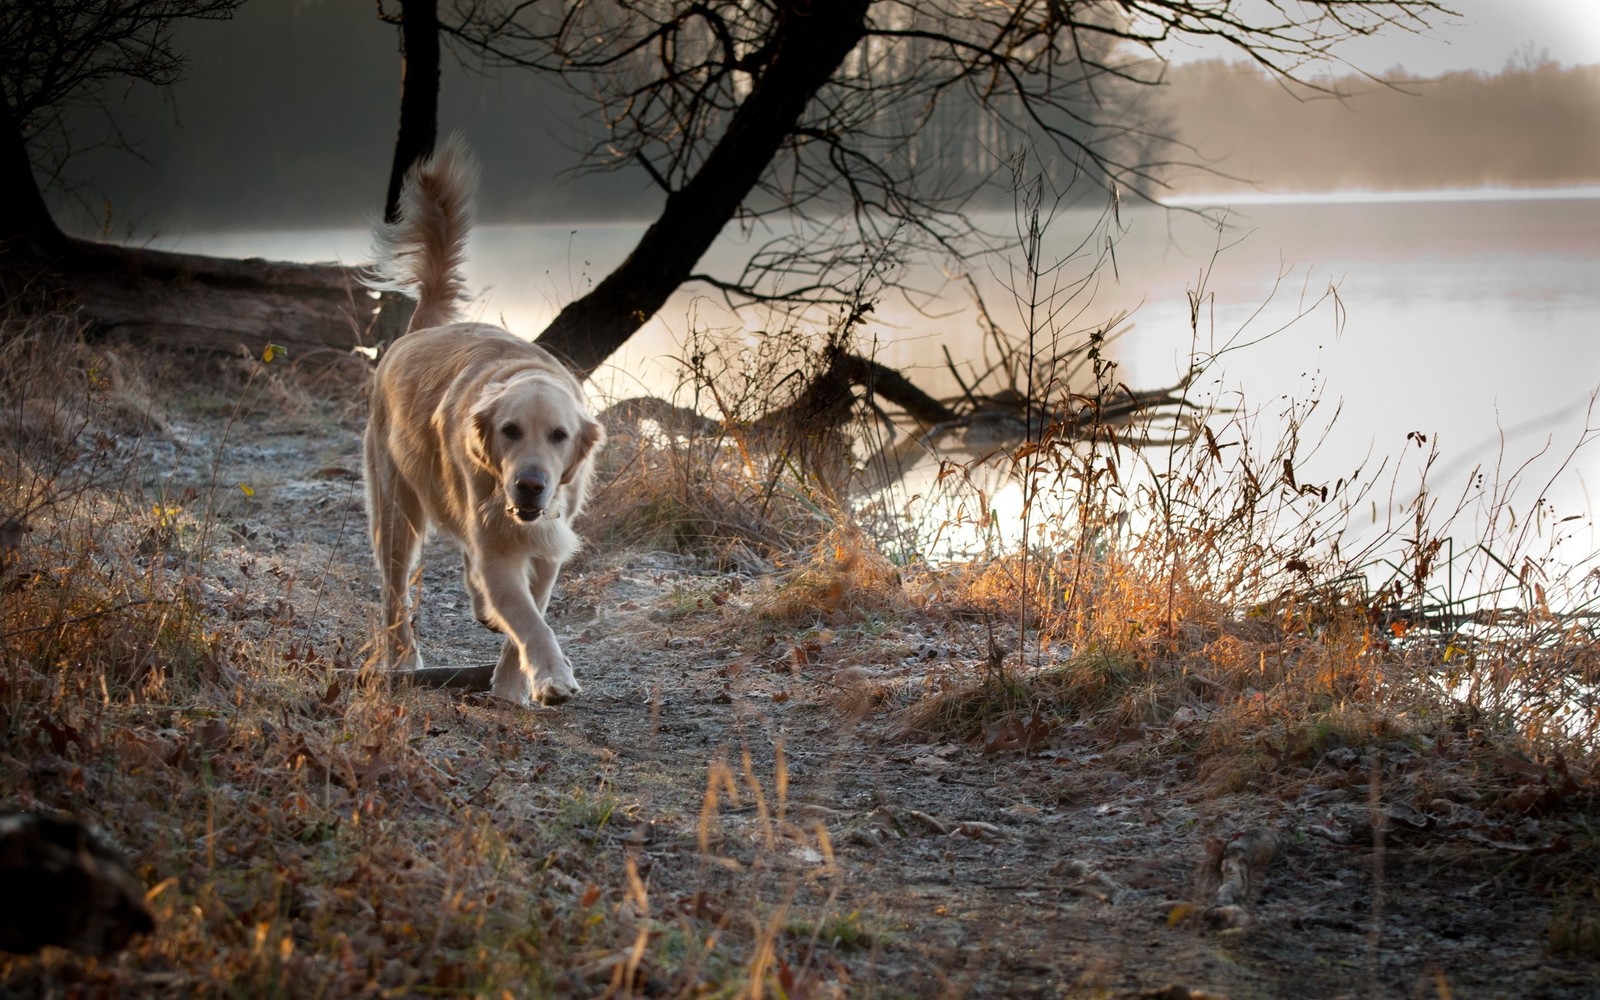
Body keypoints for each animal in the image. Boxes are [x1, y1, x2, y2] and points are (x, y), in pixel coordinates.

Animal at [360, 138, 601, 700]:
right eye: (510, 431)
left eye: (559, 436)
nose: (531, 485)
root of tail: (416, 330)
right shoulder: (498, 541)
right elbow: (530, 620)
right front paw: (551, 675)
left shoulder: (546, 541)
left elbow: (529, 613)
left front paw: (513, 685)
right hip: (396, 511)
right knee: (394, 594)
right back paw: (402, 660)